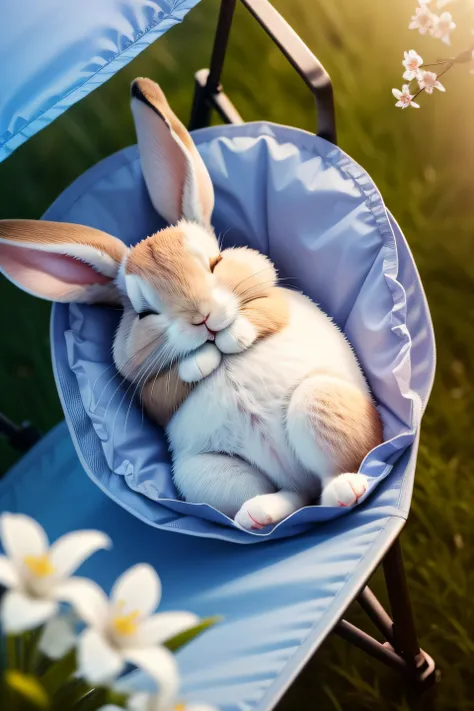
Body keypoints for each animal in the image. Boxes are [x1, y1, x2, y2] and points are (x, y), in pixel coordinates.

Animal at [0, 79, 384, 536]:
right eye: (143, 313)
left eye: (214, 263)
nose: (201, 318)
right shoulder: (151, 390)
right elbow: (170, 382)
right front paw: (201, 360)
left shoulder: (272, 303)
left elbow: (262, 317)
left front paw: (229, 338)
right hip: (204, 473)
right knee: (289, 499)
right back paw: (261, 515)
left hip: (320, 404)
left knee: (331, 477)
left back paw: (347, 490)